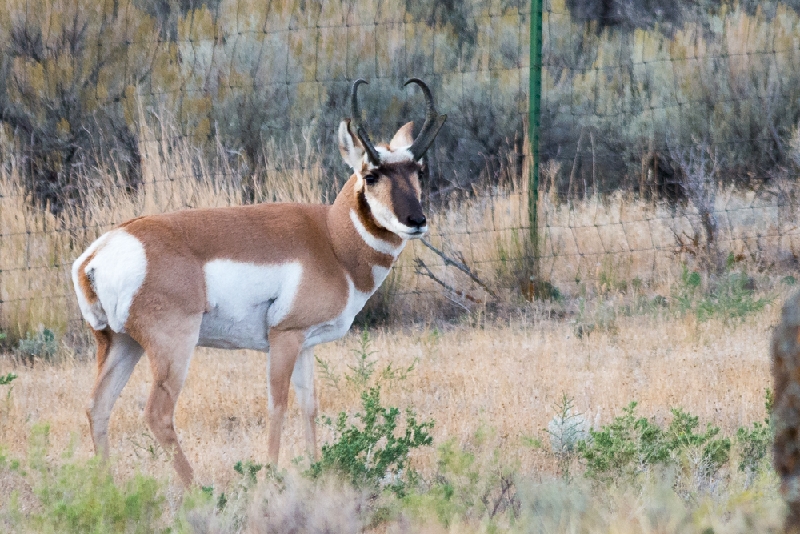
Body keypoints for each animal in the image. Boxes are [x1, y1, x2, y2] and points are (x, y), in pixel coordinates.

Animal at [72, 78, 446, 486]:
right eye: (371, 174)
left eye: (419, 170)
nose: (416, 221)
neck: (331, 240)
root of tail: (99, 253)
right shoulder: (283, 339)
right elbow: (277, 405)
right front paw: (270, 476)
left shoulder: (306, 344)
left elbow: (309, 405)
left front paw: (316, 469)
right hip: (172, 347)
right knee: (157, 413)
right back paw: (197, 489)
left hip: (121, 344)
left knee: (96, 407)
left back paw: (109, 486)